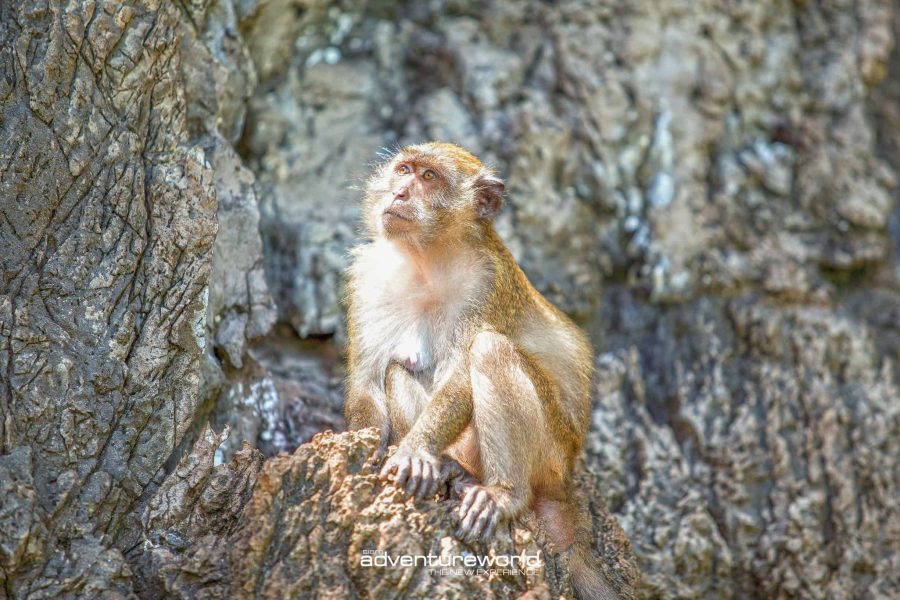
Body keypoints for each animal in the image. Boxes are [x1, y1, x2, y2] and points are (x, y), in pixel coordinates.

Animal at [344, 141, 618, 600]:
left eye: (429, 178)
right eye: (403, 170)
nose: (398, 193)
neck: (427, 259)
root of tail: (568, 478)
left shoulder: (488, 283)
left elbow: (459, 375)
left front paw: (416, 451)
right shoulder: (369, 279)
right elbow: (367, 381)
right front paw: (370, 450)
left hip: (551, 454)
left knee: (490, 350)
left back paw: (504, 493)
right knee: (397, 370)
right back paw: (456, 472)